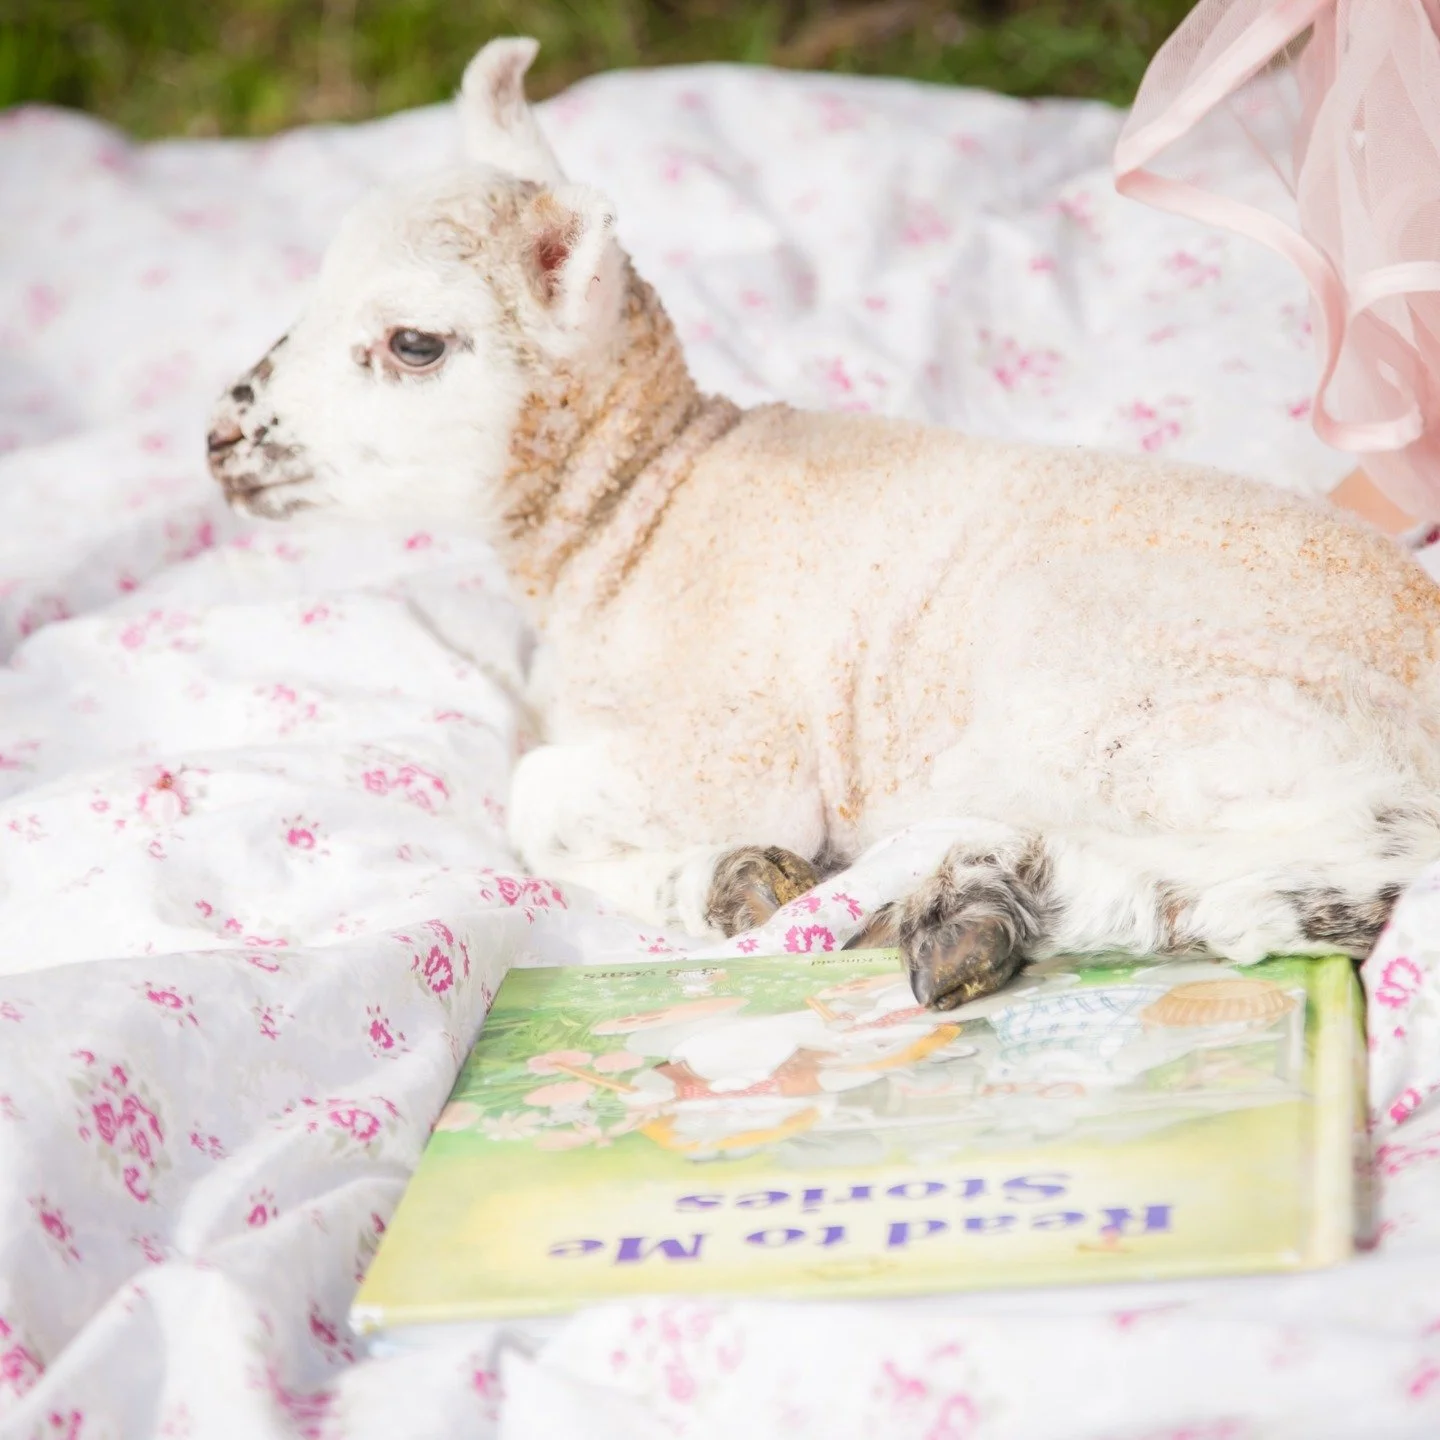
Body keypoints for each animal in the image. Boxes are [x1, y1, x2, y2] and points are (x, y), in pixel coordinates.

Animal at [208, 37, 1440, 1008]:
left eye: (414, 343)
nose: (220, 436)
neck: (642, 511)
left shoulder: (727, 747)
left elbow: (536, 802)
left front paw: (728, 880)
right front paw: (734, 883)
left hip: (1126, 694)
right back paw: (972, 916)